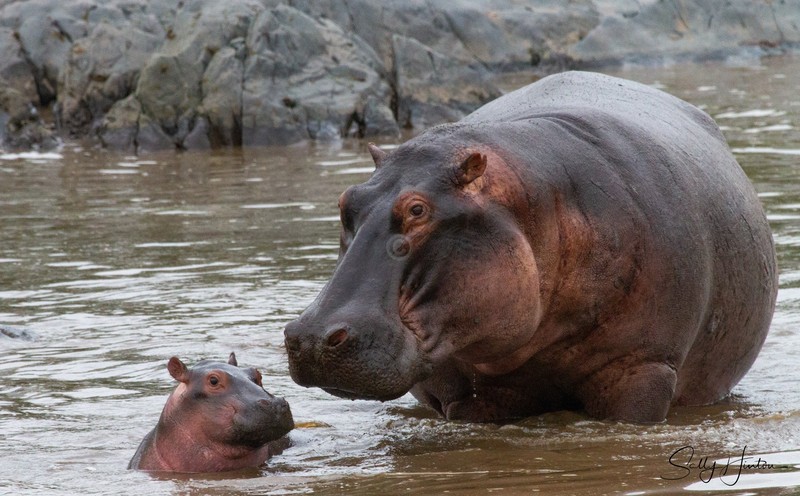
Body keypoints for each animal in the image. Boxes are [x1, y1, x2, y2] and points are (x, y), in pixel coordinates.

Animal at [284, 71, 778, 423]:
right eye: (346, 201)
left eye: (418, 209)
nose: (309, 338)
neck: (539, 201)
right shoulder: (466, 384)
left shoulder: (644, 367)